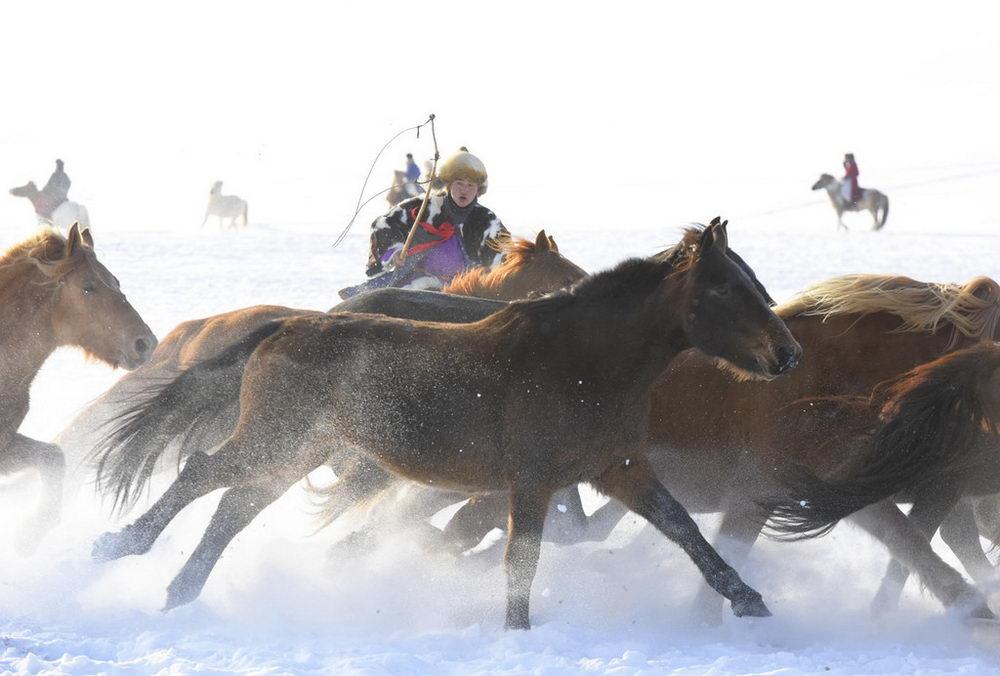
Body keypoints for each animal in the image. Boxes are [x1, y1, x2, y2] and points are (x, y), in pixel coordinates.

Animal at [0, 224, 156, 552]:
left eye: (116, 281)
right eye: (88, 287)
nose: (146, 343)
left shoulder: (5, 445)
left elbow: (54, 458)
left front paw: (29, 534)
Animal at [90, 220, 800, 628]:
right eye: (724, 289)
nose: (789, 354)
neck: (584, 362)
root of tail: (285, 326)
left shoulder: (618, 469)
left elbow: (683, 528)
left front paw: (747, 599)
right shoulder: (533, 481)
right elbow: (521, 558)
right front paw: (517, 630)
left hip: (297, 453)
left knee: (234, 506)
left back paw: (180, 589)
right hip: (277, 442)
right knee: (204, 474)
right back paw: (119, 547)